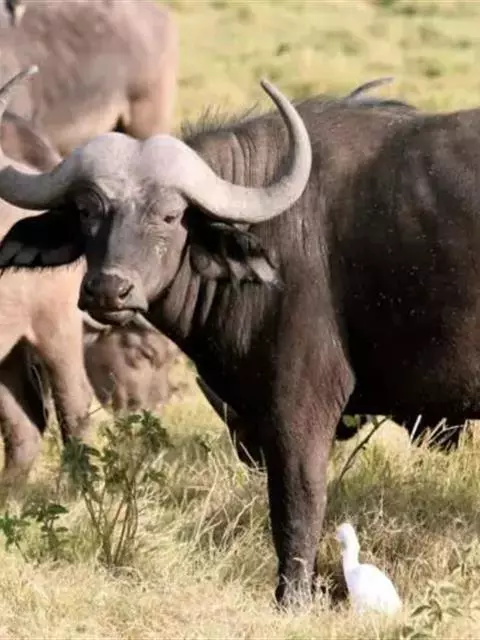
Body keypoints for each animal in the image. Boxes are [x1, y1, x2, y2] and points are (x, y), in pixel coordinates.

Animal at [0, 67, 475, 607]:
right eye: (86, 211)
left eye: (169, 215)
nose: (108, 289)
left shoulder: (298, 408)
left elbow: (296, 503)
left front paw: (291, 599)